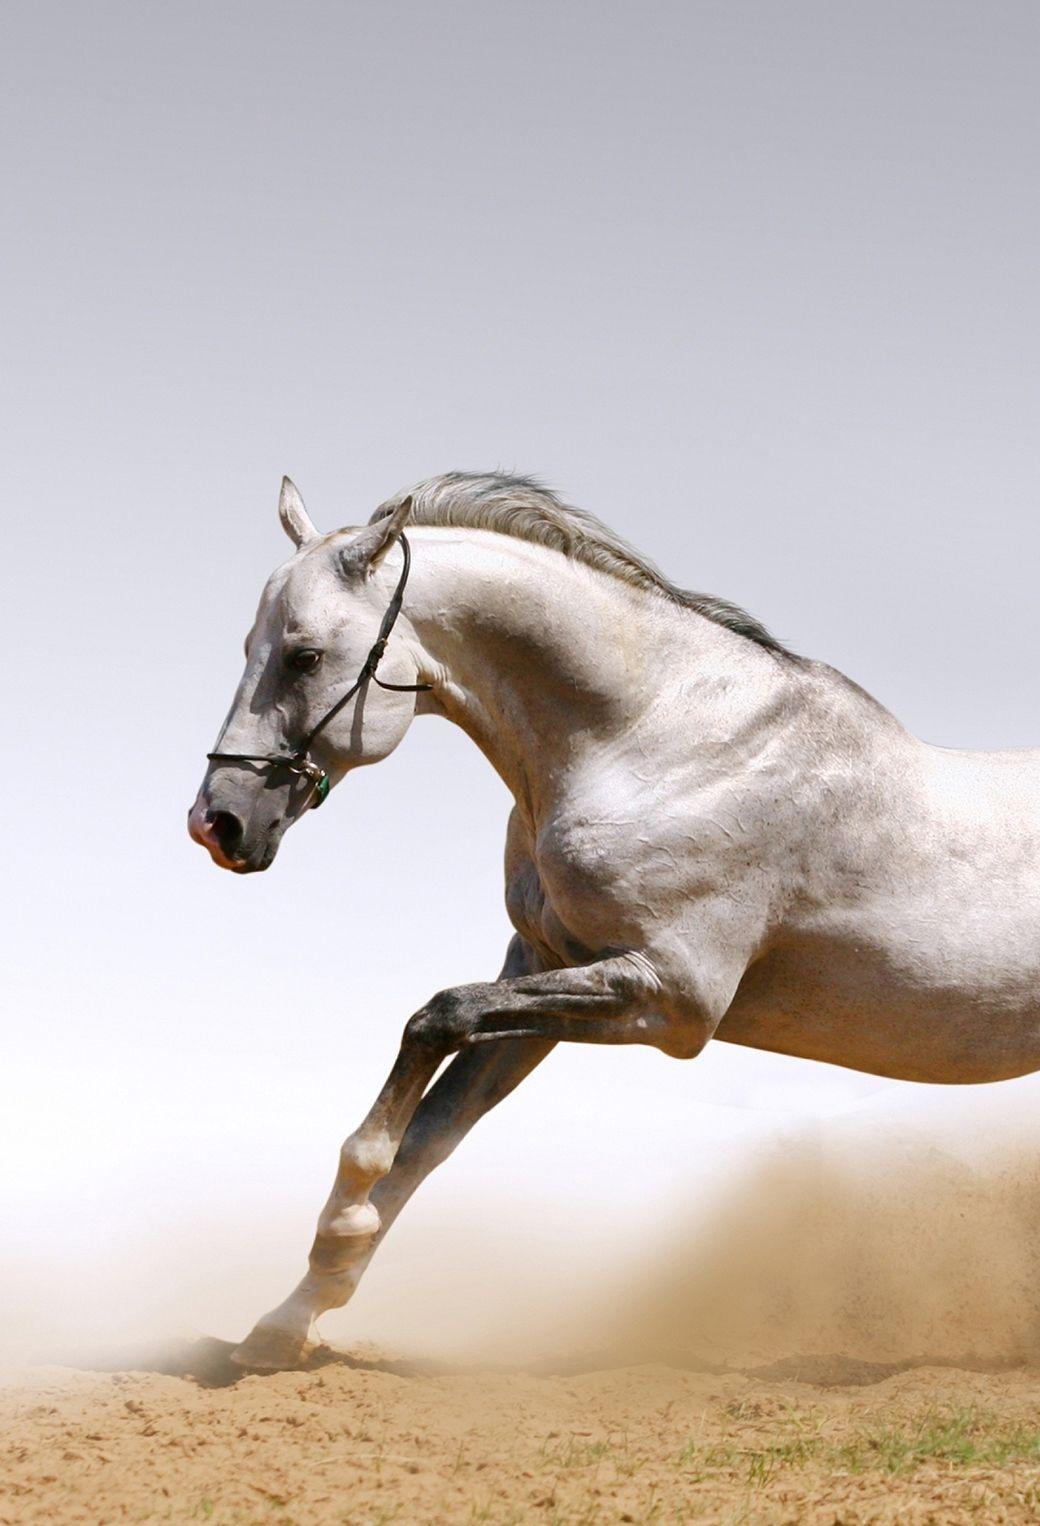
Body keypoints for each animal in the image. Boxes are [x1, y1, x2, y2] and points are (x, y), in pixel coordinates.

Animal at [189, 472, 1040, 1370]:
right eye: (249, 645)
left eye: (305, 655)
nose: (218, 823)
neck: (656, 745)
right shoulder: (541, 972)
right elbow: (432, 1135)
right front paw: (286, 1322)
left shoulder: (670, 999)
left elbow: (435, 1020)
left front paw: (341, 1220)